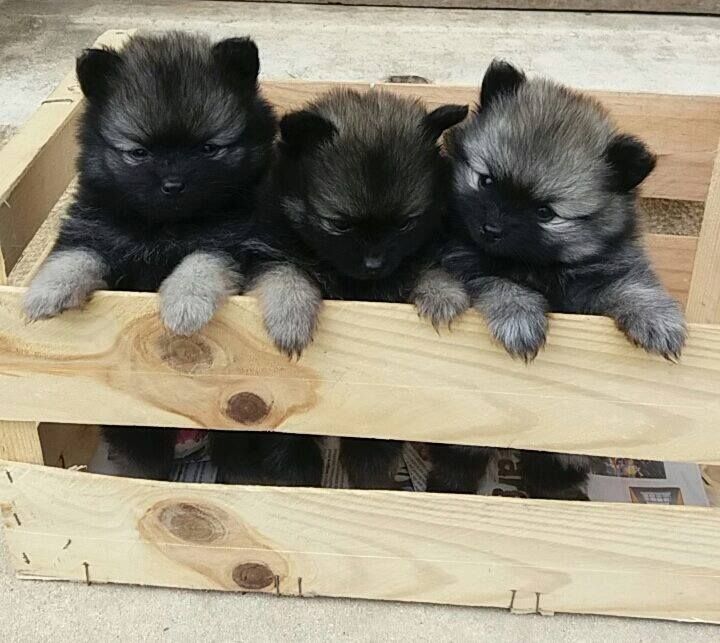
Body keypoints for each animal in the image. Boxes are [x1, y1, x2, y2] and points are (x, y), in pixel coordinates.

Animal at [23, 32, 278, 480]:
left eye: (209, 148)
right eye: (139, 152)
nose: (173, 184)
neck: (165, 226)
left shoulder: (230, 238)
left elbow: (199, 261)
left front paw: (184, 303)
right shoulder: (97, 227)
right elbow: (77, 254)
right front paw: (47, 290)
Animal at [229, 87, 466, 488]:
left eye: (405, 224)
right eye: (339, 224)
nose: (373, 264)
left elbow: (422, 264)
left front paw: (442, 292)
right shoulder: (269, 249)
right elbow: (287, 274)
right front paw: (292, 318)